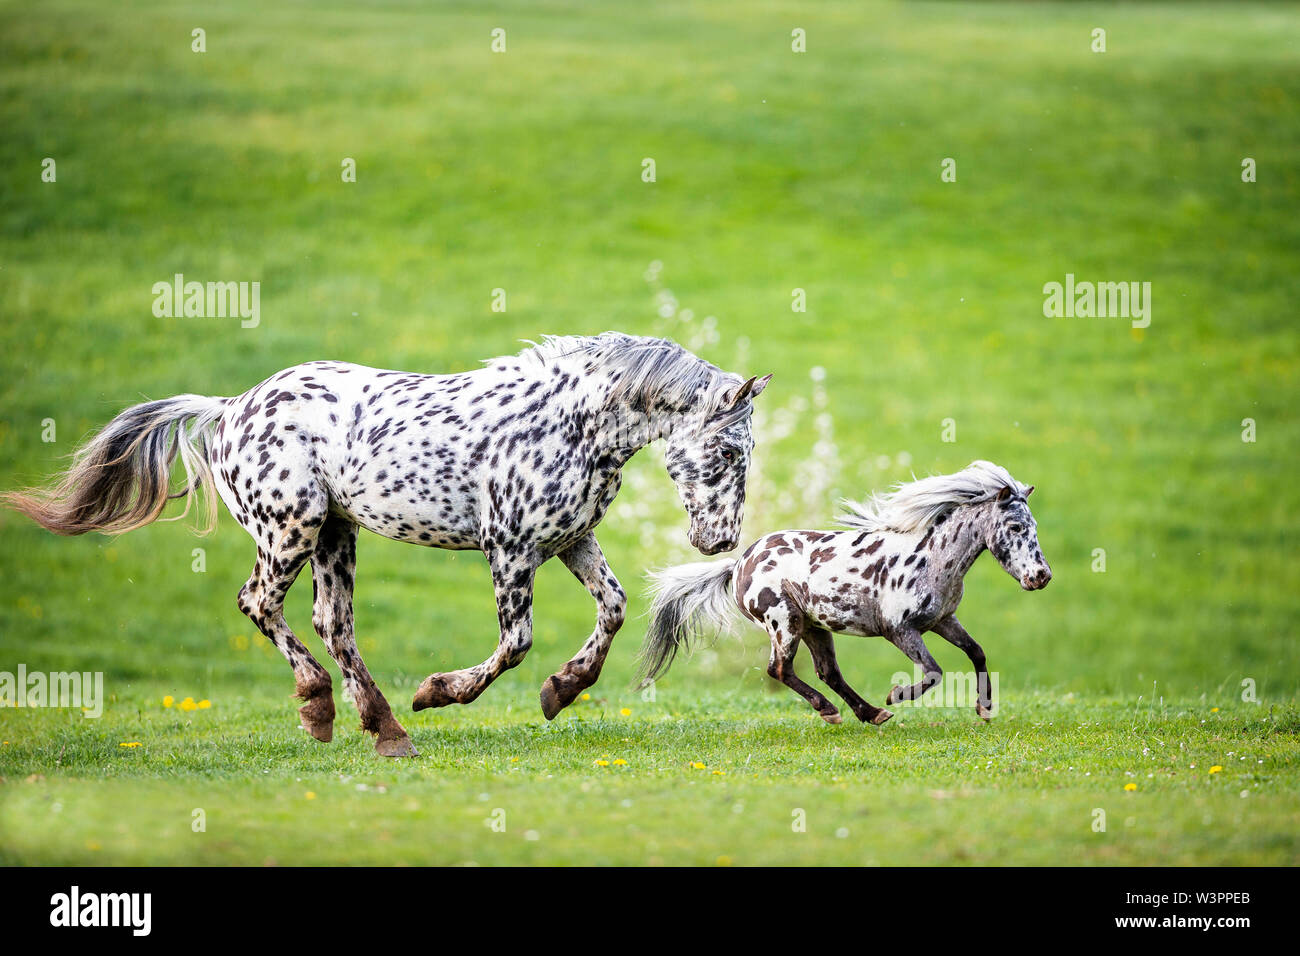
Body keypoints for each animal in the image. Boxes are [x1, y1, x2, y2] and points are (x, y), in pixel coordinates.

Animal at [5, 332, 771, 756]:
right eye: (728, 452)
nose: (720, 539)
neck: (571, 423)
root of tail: (229, 411)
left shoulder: (569, 540)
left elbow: (611, 609)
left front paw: (562, 691)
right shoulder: (509, 549)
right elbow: (515, 642)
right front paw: (440, 692)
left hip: (335, 537)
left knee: (331, 623)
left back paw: (384, 728)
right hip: (291, 529)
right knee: (261, 604)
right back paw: (325, 706)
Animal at [638, 461, 1051, 726]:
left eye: (1034, 524)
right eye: (1016, 526)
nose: (1041, 576)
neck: (930, 557)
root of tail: (739, 563)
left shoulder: (942, 620)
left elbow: (977, 652)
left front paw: (985, 710)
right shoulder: (899, 630)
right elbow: (934, 672)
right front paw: (897, 695)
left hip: (814, 627)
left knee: (827, 672)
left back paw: (870, 713)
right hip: (784, 624)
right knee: (779, 669)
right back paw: (835, 711)